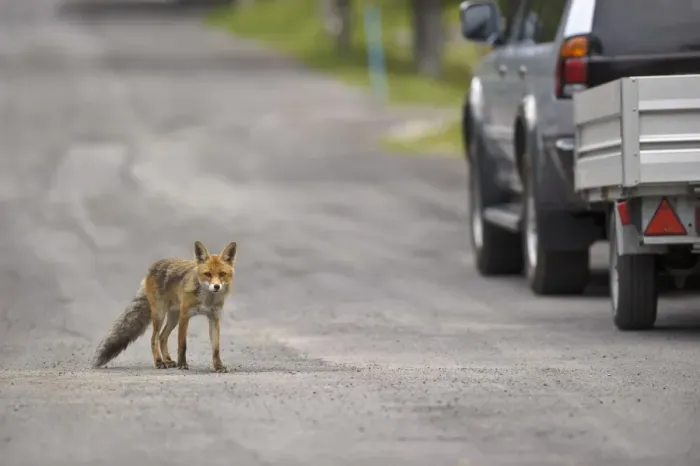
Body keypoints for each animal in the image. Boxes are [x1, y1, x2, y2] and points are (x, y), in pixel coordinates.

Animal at [92, 240, 237, 373]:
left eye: (222, 274)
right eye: (207, 274)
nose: (216, 287)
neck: (207, 299)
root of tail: (152, 268)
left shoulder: (214, 318)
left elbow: (216, 348)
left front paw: (218, 366)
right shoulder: (185, 316)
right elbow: (182, 344)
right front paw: (182, 364)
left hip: (173, 317)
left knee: (162, 337)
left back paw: (167, 360)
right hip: (160, 315)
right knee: (154, 338)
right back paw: (159, 362)